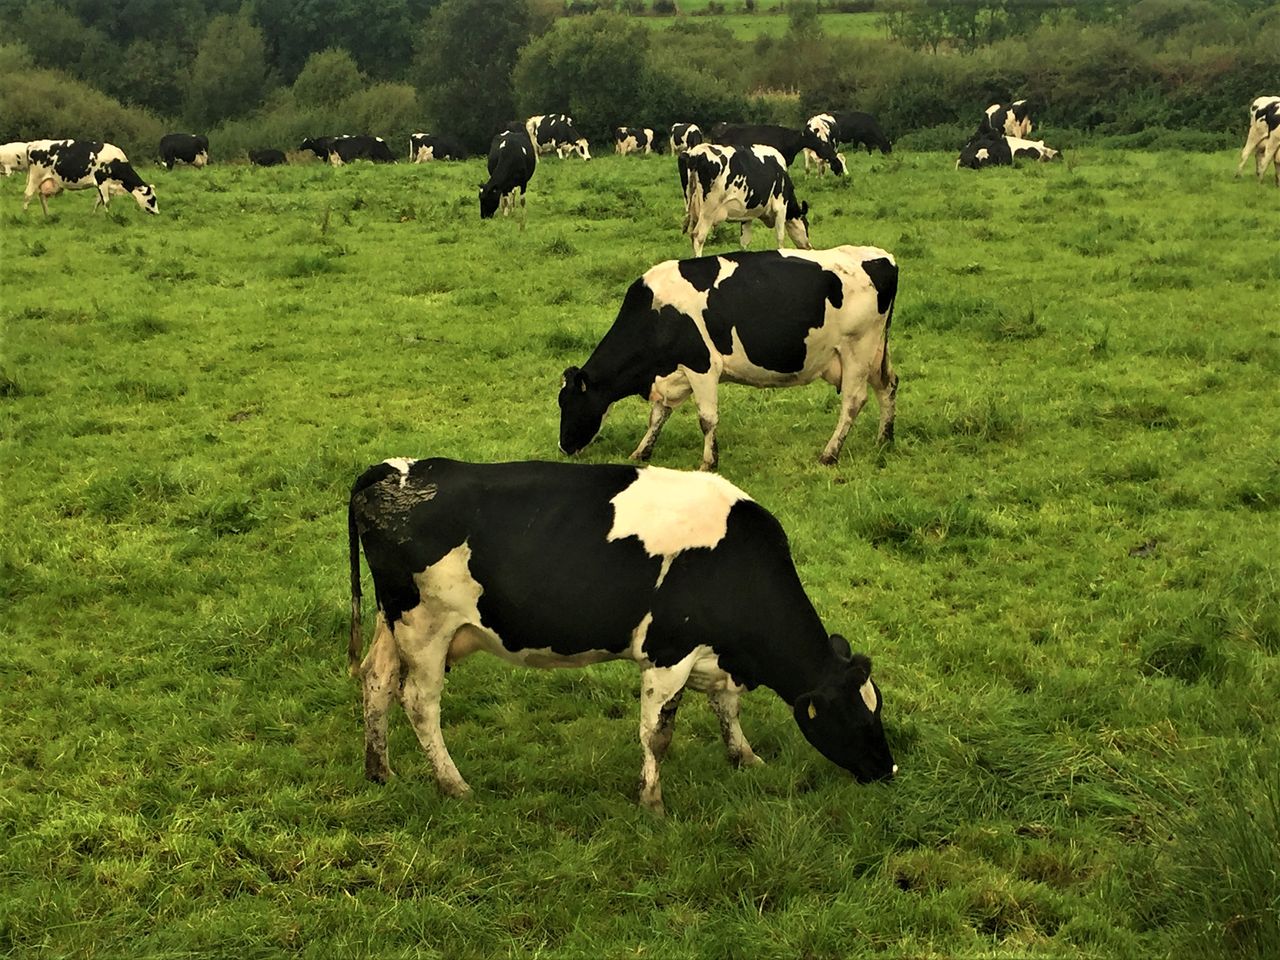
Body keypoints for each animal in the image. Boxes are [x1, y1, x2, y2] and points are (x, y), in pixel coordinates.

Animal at [22, 140, 157, 216]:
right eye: (152, 199)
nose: (157, 213)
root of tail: (33, 144)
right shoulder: (102, 182)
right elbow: (106, 201)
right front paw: (109, 216)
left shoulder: (103, 185)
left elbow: (98, 201)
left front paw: (94, 214)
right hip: (35, 177)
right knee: (28, 194)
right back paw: (25, 214)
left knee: (41, 196)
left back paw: (47, 215)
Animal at [348, 457, 897, 814]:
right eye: (853, 716)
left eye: (878, 708)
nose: (888, 771)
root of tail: (396, 469)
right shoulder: (666, 653)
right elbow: (656, 735)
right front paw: (652, 802)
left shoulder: (712, 657)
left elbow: (726, 708)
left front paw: (746, 757)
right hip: (425, 626)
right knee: (419, 702)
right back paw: (453, 785)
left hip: (390, 620)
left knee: (376, 680)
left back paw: (379, 770)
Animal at [558, 246, 898, 471]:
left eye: (569, 403)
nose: (563, 446)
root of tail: (881, 257)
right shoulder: (670, 372)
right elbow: (657, 417)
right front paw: (641, 452)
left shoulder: (702, 366)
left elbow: (707, 419)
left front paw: (708, 462)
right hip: (875, 353)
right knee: (888, 386)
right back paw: (884, 440)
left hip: (857, 349)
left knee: (853, 401)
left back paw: (830, 454)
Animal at [679, 143, 811, 259]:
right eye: (806, 224)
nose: (809, 246)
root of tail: (695, 153)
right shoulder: (780, 207)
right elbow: (780, 237)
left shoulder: (746, 215)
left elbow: (744, 241)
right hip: (708, 211)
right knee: (698, 236)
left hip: (692, 209)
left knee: (692, 235)